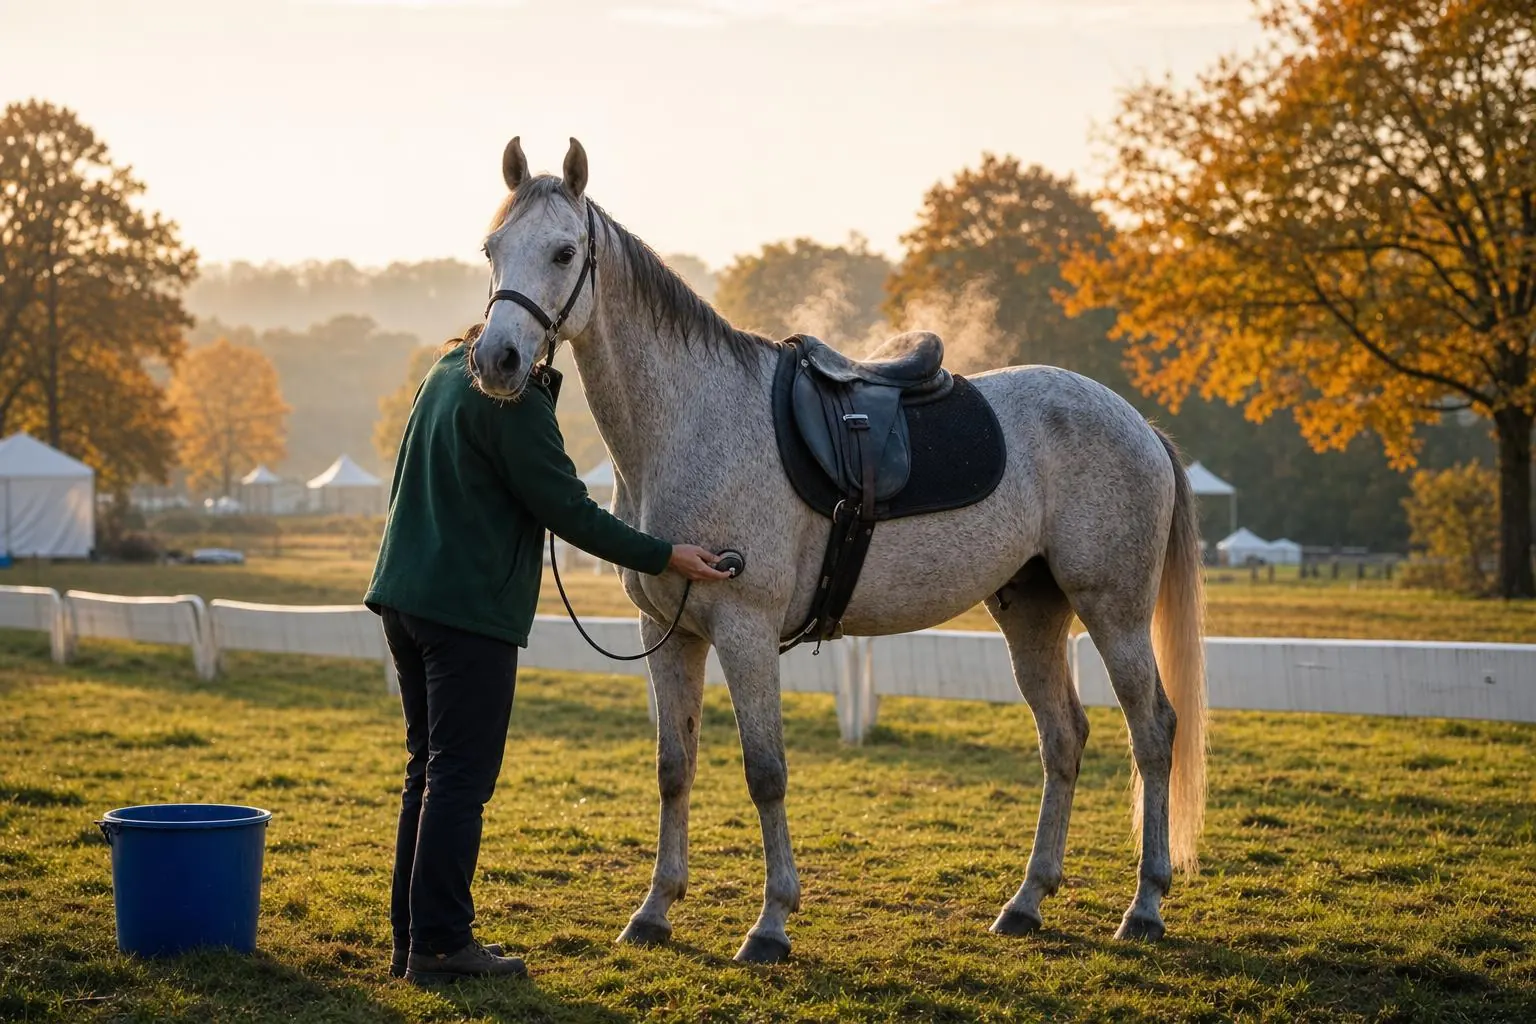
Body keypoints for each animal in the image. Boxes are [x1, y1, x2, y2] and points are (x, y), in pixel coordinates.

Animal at [468, 137, 1207, 964]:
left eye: (564, 252)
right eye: (493, 249)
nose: (496, 359)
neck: (692, 420)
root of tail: (1137, 423)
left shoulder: (746, 633)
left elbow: (765, 772)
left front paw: (771, 923)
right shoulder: (669, 635)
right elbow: (673, 768)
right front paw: (655, 910)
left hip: (1114, 613)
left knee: (1154, 733)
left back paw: (1145, 905)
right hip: (1032, 612)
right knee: (1064, 738)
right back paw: (1027, 901)